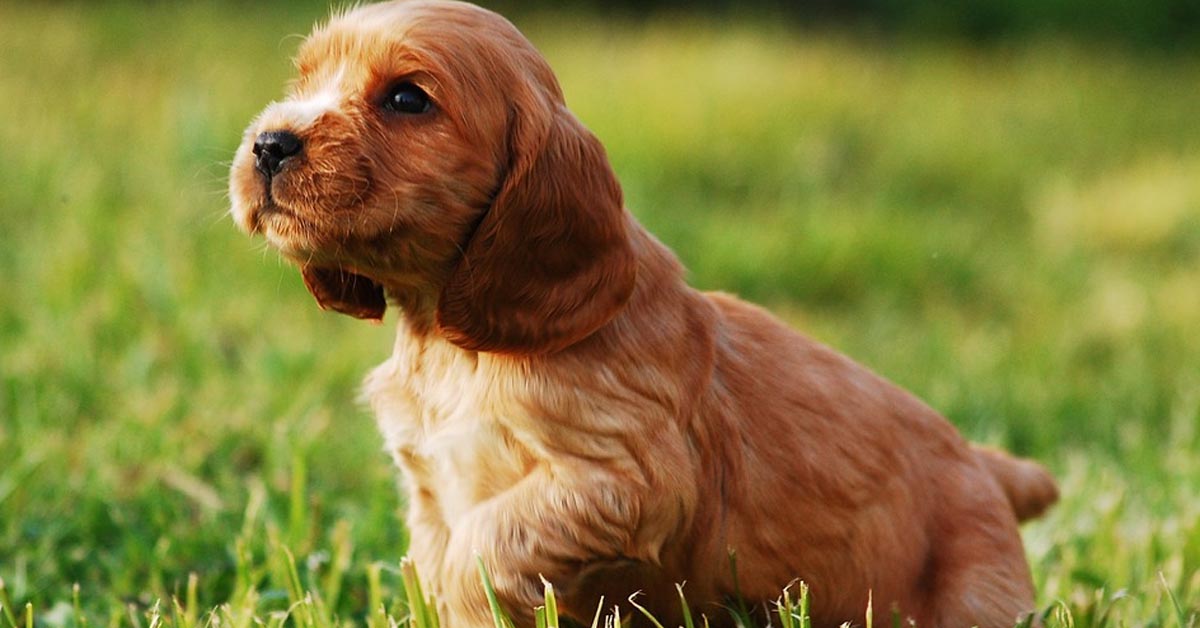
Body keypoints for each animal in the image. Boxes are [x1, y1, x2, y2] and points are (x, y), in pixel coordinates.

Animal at [229, 2, 1056, 624]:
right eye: (304, 78)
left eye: (406, 98)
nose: (268, 143)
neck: (450, 345)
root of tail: (989, 466)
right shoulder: (432, 490)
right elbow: (438, 564)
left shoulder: (629, 479)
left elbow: (481, 550)